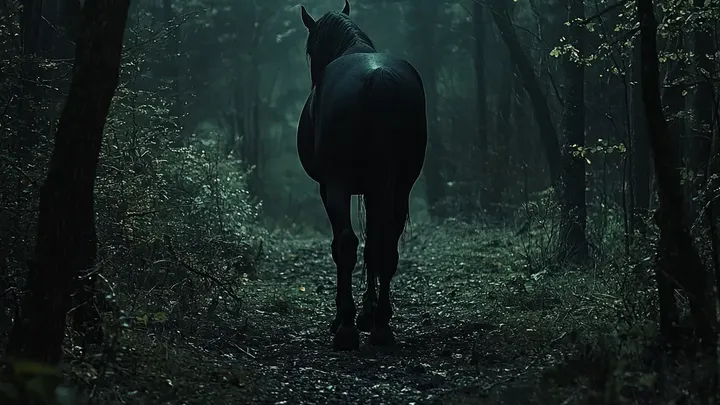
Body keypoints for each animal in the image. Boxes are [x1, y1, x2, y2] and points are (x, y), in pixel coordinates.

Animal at [297, 0, 427, 351]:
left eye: (310, 49)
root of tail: (377, 79)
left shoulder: (328, 186)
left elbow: (346, 244)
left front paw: (344, 317)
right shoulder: (376, 188)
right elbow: (374, 244)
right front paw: (368, 314)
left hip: (339, 184)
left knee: (346, 244)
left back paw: (345, 328)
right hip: (399, 185)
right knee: (386, 243)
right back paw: (380, 324)